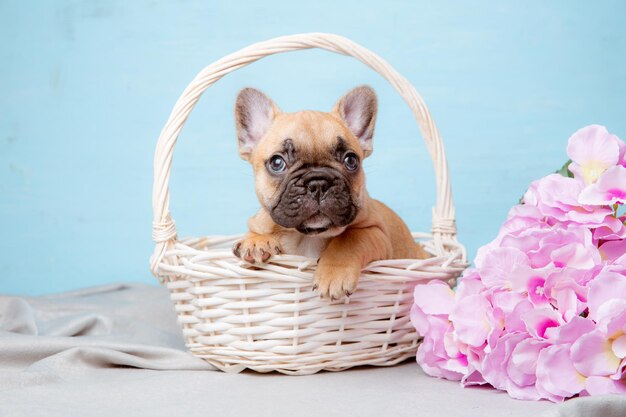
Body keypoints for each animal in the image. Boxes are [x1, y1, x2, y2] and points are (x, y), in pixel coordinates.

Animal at [230, 85, 428, 300]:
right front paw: (255, 242)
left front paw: (334, 275)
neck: (308, 237)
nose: (318, 183)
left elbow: (350, 239)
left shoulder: (376, 230)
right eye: (277, 162)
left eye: (351, 160)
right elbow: (257, 231)